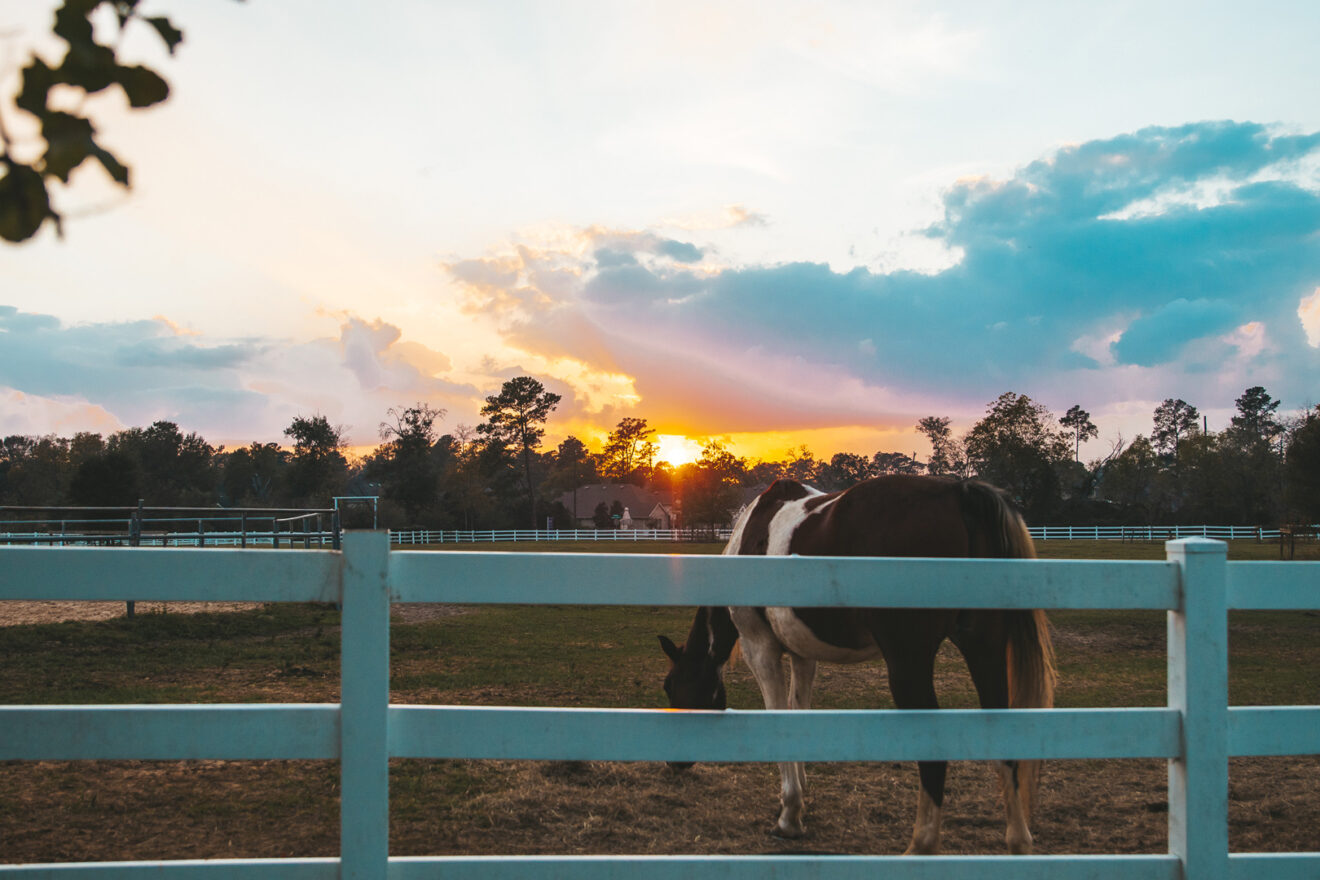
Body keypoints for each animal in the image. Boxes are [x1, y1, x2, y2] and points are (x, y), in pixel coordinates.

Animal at [658, 474, 1056, 855]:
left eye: (669, 685)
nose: (674, 763)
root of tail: (959, 492)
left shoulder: (762, 649)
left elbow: (780, 719)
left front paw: (789, 815)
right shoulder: (803, 655)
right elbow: (797, 713)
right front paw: (799, 797)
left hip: (909, 664)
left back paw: (921, 845)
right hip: (983, 651)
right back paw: (1018, 841)